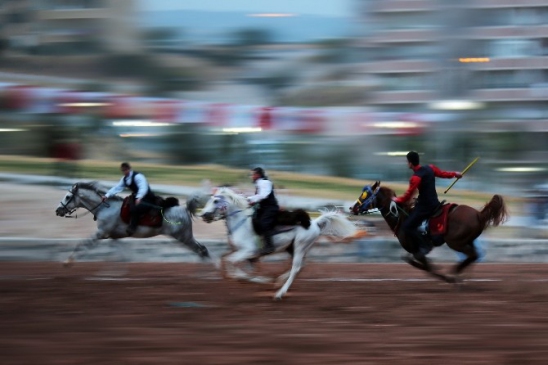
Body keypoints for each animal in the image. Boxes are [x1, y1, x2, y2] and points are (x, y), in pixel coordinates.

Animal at [54, 181, 217, 266]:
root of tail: (184, 209)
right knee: (201, 250)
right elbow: (123, 255)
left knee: (201, 250)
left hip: (183, 237)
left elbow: (83, 244)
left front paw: (67, 261)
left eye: (68, 196)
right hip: (185, 237)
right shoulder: (113, 237)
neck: (104, 208)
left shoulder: (100, 233)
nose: (58, 210)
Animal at [199, 188, 358, 298]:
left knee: (295, 268)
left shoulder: (248, 251)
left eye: (215, 201)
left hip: (300, 246)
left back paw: (280, 293)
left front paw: (246, 278)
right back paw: (278, 281)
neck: (241, 223)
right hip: (294, 248)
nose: (203, 215)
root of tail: (314, 223)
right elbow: (232, 263)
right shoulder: (249, 256)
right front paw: (259, 279)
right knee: (301, 266)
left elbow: (230, 262)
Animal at [354, 181, 508, 282]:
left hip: (455, 242)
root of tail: (479, 214)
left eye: (365, 195)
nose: (352, 208)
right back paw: (461, 275)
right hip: (468, 241)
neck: (402, 216)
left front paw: (443, 275)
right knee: (475, 255)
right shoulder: (415, 250)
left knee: (472, 255)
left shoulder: (417, 249)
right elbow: (412, 261)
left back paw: (455, 274)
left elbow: (425, 265)